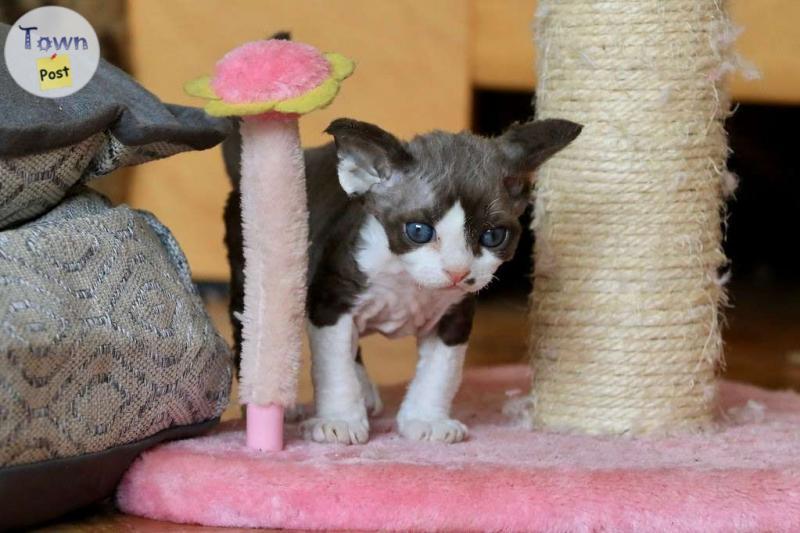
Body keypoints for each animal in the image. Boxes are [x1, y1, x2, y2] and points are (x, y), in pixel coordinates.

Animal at [222, 117, 580, 444]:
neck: (408, 284)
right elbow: (333, 366)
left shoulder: (455, 316)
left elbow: (440, 372)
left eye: (493, 236)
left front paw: (427, 420)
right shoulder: (331, 300)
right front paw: (339, 421)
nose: (457, 272)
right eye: (418, 231)